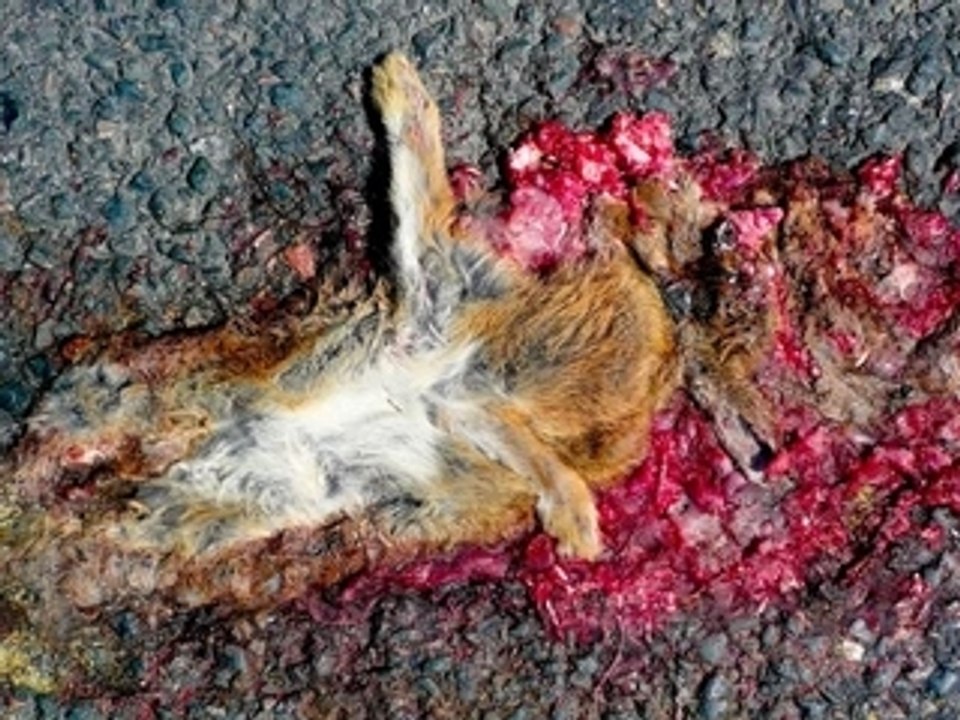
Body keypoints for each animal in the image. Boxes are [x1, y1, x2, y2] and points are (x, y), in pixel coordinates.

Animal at [8, 51, 681, 569]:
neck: (478, 371)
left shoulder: (477, 393)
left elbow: (533, 459)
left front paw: (575, 520)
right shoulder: (441, 291)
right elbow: (419, 192)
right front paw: (400, 83)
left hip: (264, 488)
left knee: (173, 497)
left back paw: (108, 498)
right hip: (214, 405)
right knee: (140, 412)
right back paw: (71, 428)